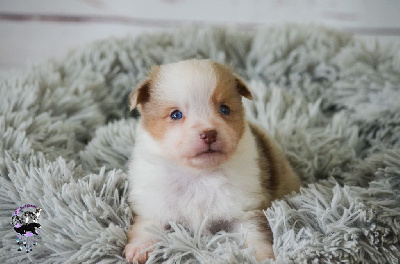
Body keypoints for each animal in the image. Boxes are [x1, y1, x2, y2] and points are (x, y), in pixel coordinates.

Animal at [124, 58, 300, 262]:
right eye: (176, 114)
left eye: (224, 109)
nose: (209, 134)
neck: (198, 175)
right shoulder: (154, 202)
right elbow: (147, 226)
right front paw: (138, 249)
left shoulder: (245, 207)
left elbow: (254, 233)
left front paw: (261, 256)